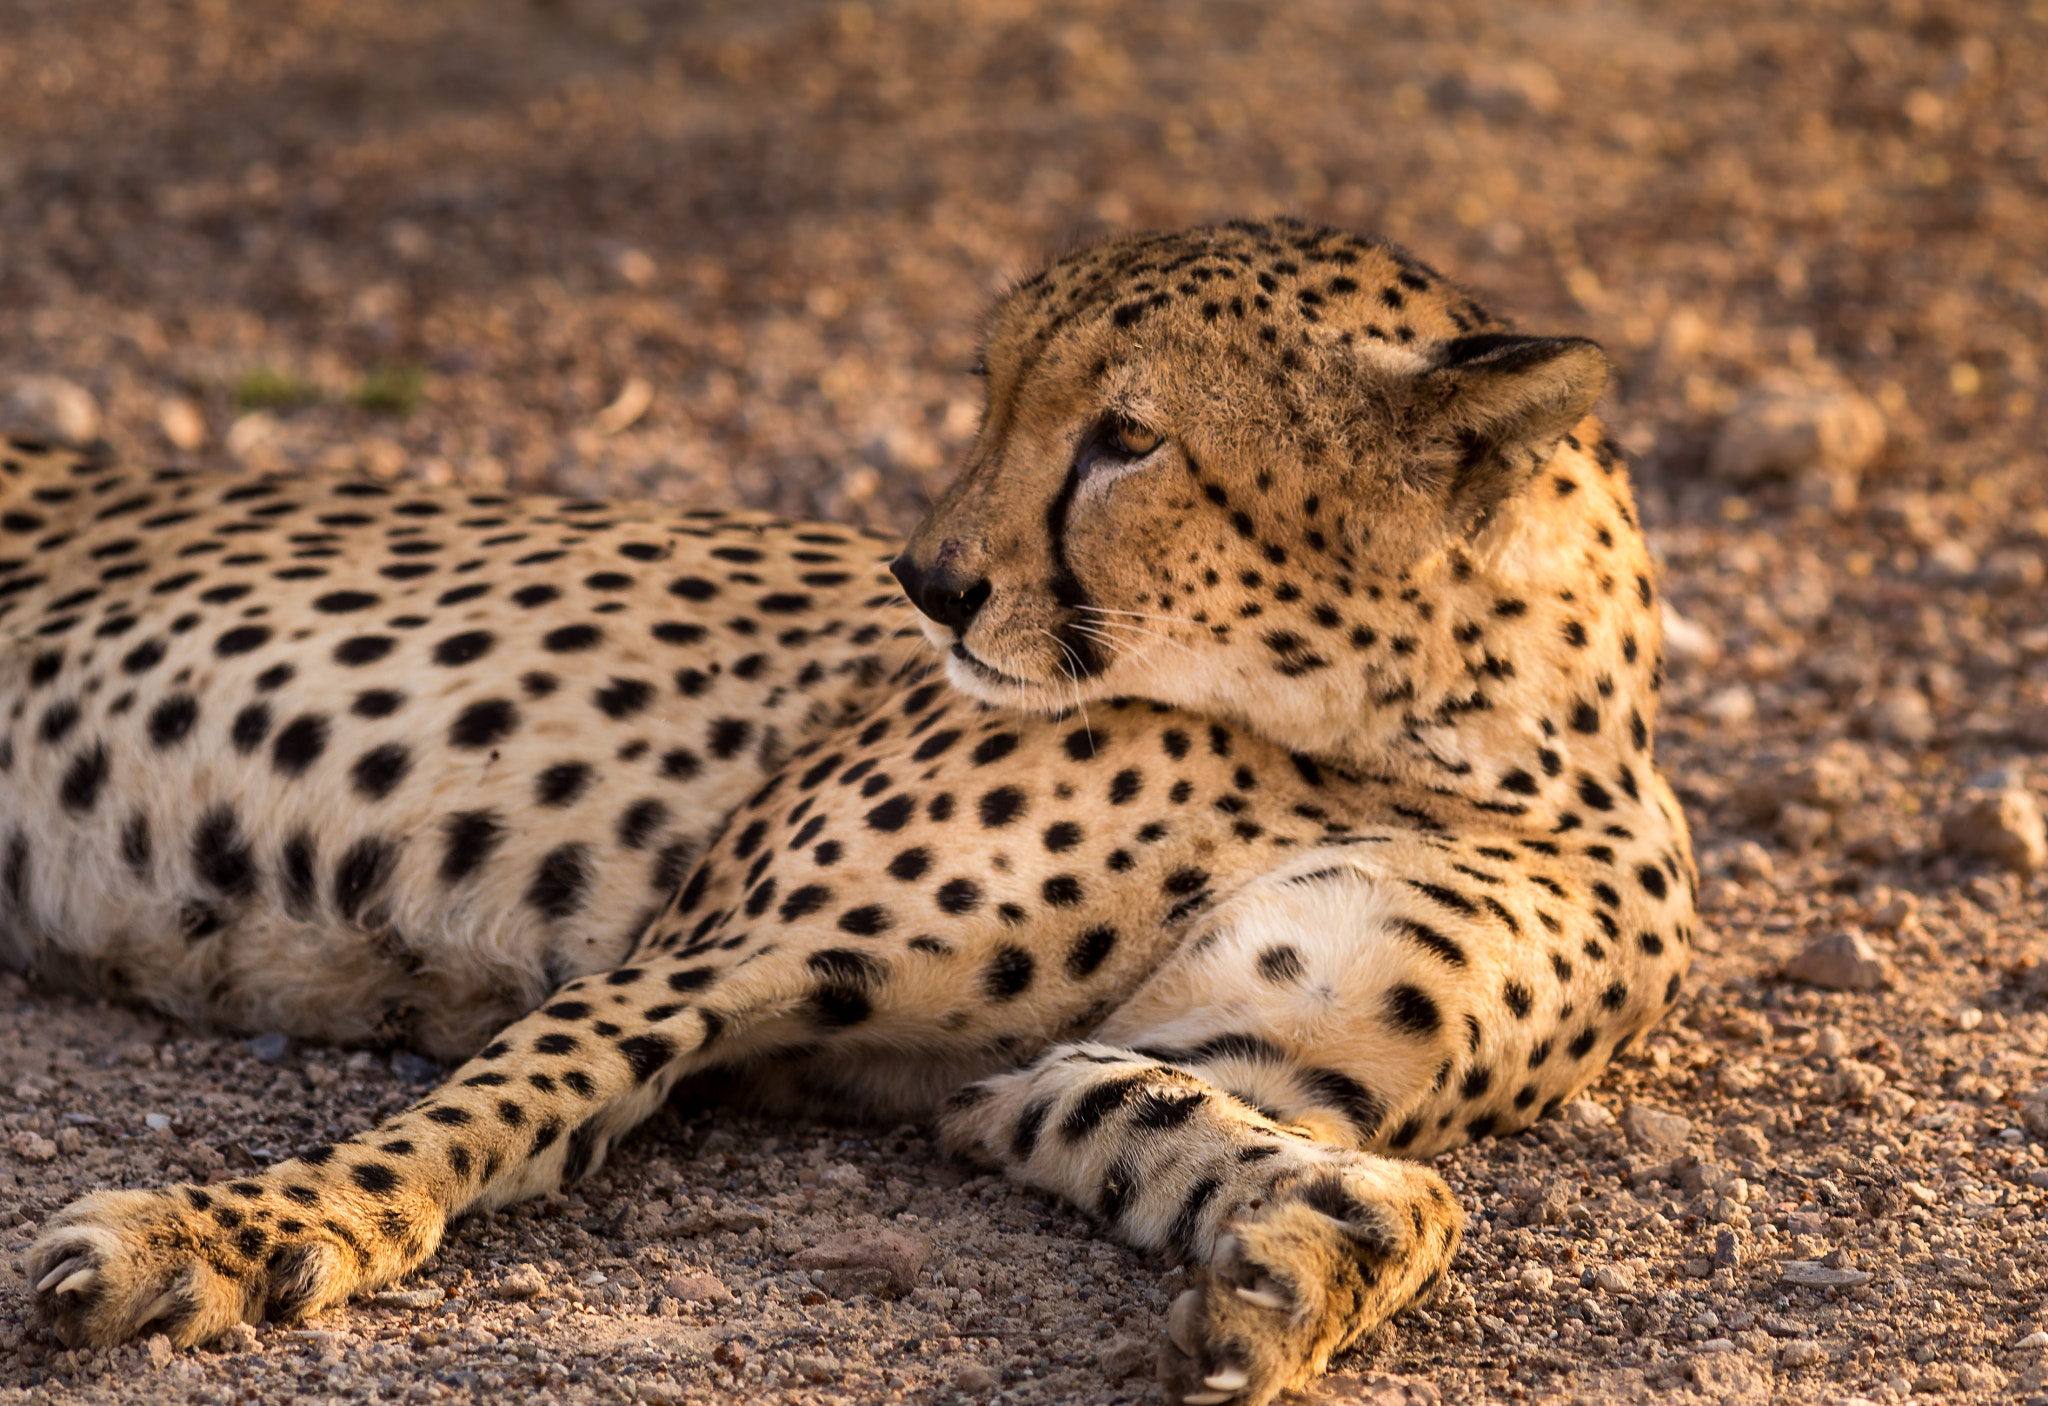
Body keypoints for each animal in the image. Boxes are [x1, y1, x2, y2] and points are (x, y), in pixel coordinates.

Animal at [14, 218, 1695, 1406]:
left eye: (1127, 436)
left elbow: (1336, 1176)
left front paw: (1292, 1267)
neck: (1434, 740)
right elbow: (475, 1119)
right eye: (995, 397)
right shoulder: (705, 954)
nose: (928, 582)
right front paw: (221, 1238)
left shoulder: (1086, 1063)